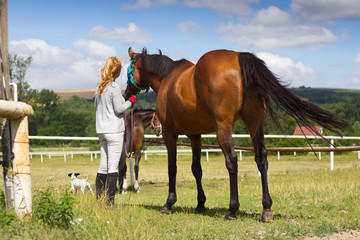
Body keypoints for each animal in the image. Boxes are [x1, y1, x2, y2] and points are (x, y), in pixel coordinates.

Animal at [124, 47, 348, 221]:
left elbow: (173, 169)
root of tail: (239, 56)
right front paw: (200, 203)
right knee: (261, 158)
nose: (126, 93)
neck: (167, 78)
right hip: (255, 122)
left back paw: (232, 210)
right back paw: (266, 209)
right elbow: (197, 169)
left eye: (129, 68)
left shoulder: (170, 134)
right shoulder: (195, 136)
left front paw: (169, 204)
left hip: (223, 127)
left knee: (232, 161)